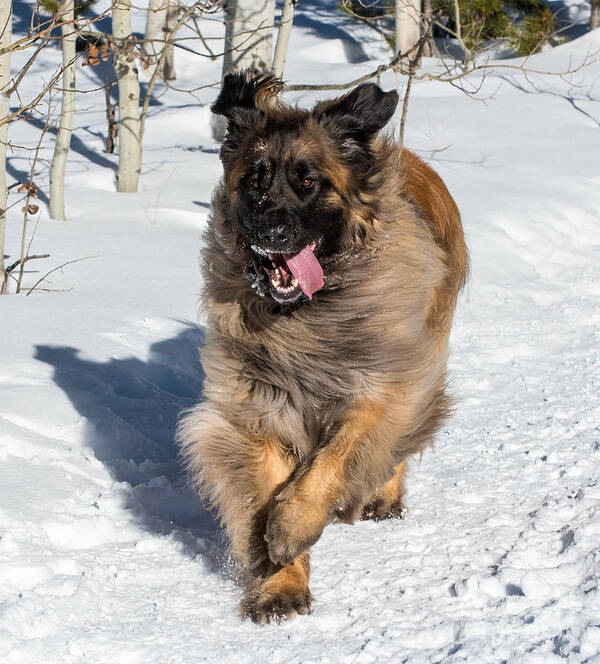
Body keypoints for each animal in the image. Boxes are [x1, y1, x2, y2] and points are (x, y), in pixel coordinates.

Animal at [178, 71, 468, 624]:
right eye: (254, 181)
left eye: (308, 181)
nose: (270, 232)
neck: (306, 315)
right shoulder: (262, 409)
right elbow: (267, 488)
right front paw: (281, 582)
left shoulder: (384, 384)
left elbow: (336, 461)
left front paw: (291, 529)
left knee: (395, 448)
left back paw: (383, 497)